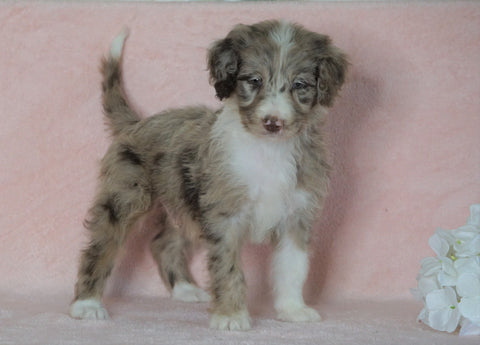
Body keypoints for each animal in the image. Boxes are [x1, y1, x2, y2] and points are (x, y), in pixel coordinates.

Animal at [69, 19, 346, 330]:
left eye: (300, 85)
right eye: (254, 80)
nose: (273, 122)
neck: (269, 151)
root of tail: (137, 123)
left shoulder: (296, 216)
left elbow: (293, 268)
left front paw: (293, 309)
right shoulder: (224, 216)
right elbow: (228, 269)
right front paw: (231, 316)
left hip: (183, 204)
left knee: (162, 243)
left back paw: (185, 289)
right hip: (125, 199)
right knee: (100, 247)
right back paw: (87, 304)